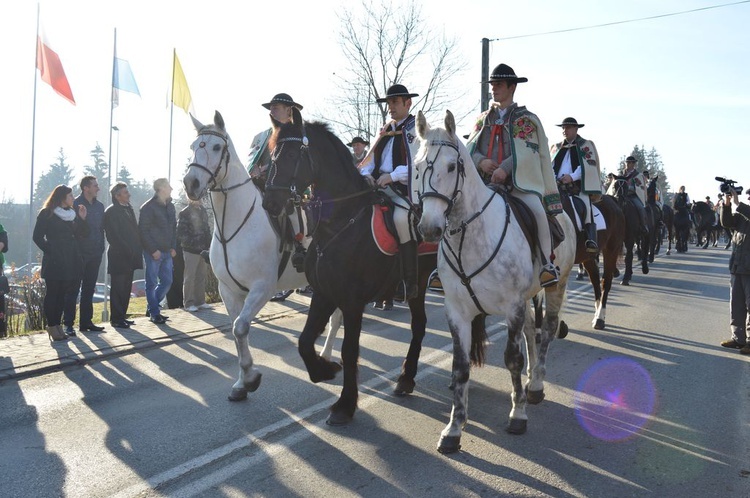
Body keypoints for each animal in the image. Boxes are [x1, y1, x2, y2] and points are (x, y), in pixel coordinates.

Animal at [186, 112, 344, 400]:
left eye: (216, 147)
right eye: (193, 146)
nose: (190, 183)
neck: (233, 224)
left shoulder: (262, 287)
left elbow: (240, 327)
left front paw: (250, 377)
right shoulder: (228, 290)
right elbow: (236, 331)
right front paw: (241, 382)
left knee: (337, 317)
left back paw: (327, 355)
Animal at [262, 109, 446, 424]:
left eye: (293, 154)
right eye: (273, 154)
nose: (270, 202)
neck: (340, 222)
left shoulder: (351, 301)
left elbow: (350, 350)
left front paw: (345, 404)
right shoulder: (323, 293)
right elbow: (304, 341)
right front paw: (324, 369)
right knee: (420, 325)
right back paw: (406, 379)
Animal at [414, 111, 580, 454]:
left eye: (451, 167)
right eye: (419, 166)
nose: (429, 229)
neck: (471, 237)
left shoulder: (512, 305)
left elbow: (512, 359)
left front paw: (518, 415)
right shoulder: (458, 311)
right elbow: (460, 366)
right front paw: (454, 428)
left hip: (556, 286)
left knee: (546, 330)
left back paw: (536, 384)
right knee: (531, 331)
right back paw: (530, 381)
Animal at [560, 190, 624, 330]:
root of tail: (612, 200)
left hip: (611, 250)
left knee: (605, 282)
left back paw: (599, 319)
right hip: (588, 257)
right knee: (595, 281)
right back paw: (597, 314)